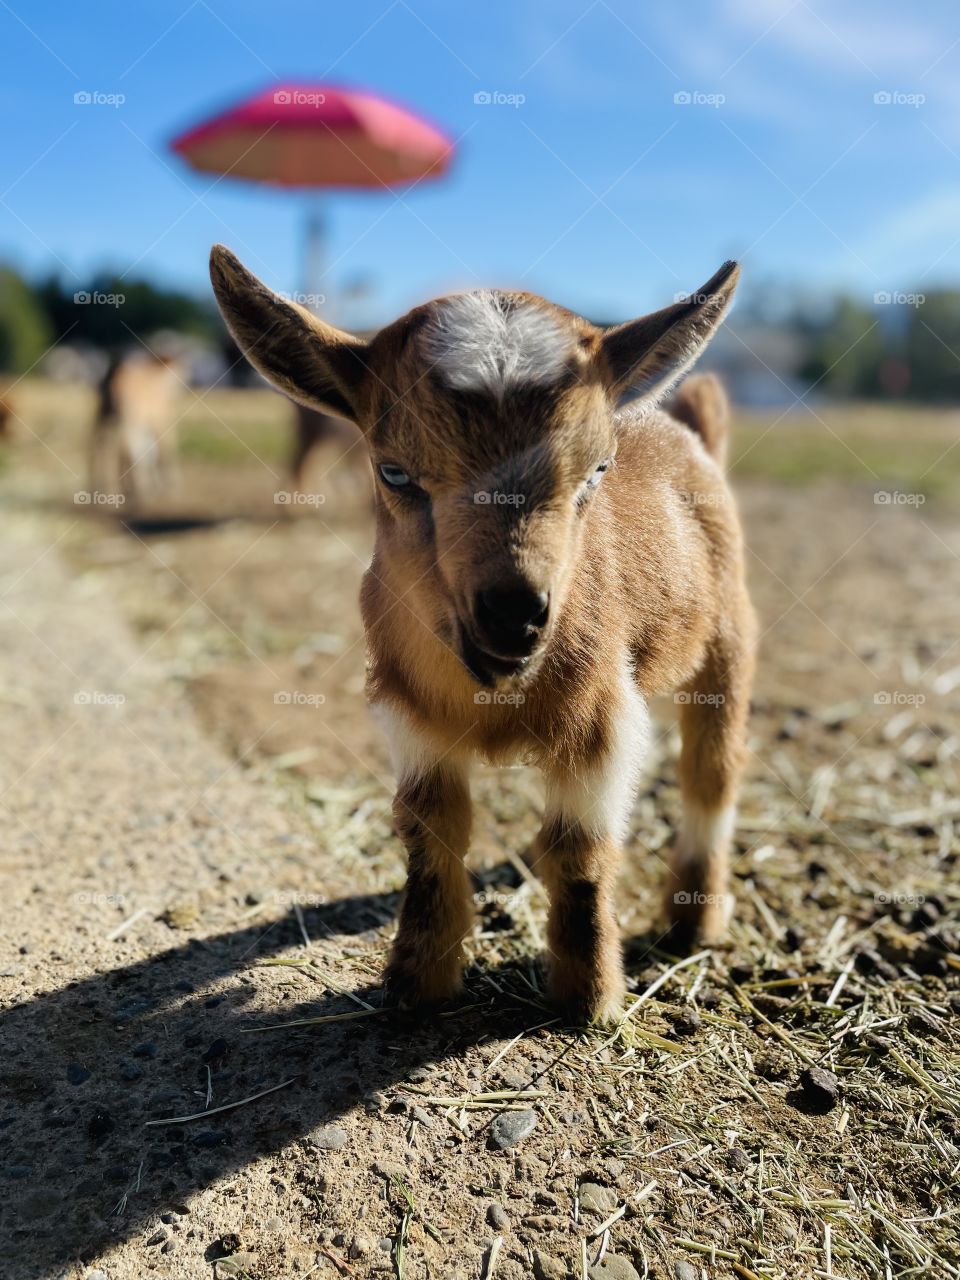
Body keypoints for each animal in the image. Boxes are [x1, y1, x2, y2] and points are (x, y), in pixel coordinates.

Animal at [210, 244, 755, 1024]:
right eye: (395, 472)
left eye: (597, 470)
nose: (514, 615)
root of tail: (686, 425)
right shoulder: (411, 715)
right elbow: (430, 833)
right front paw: (417, 984)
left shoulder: (600, 719)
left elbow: (579, 847)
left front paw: (588, 999)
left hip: (728, 638)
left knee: (711, 770)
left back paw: (695, 924)